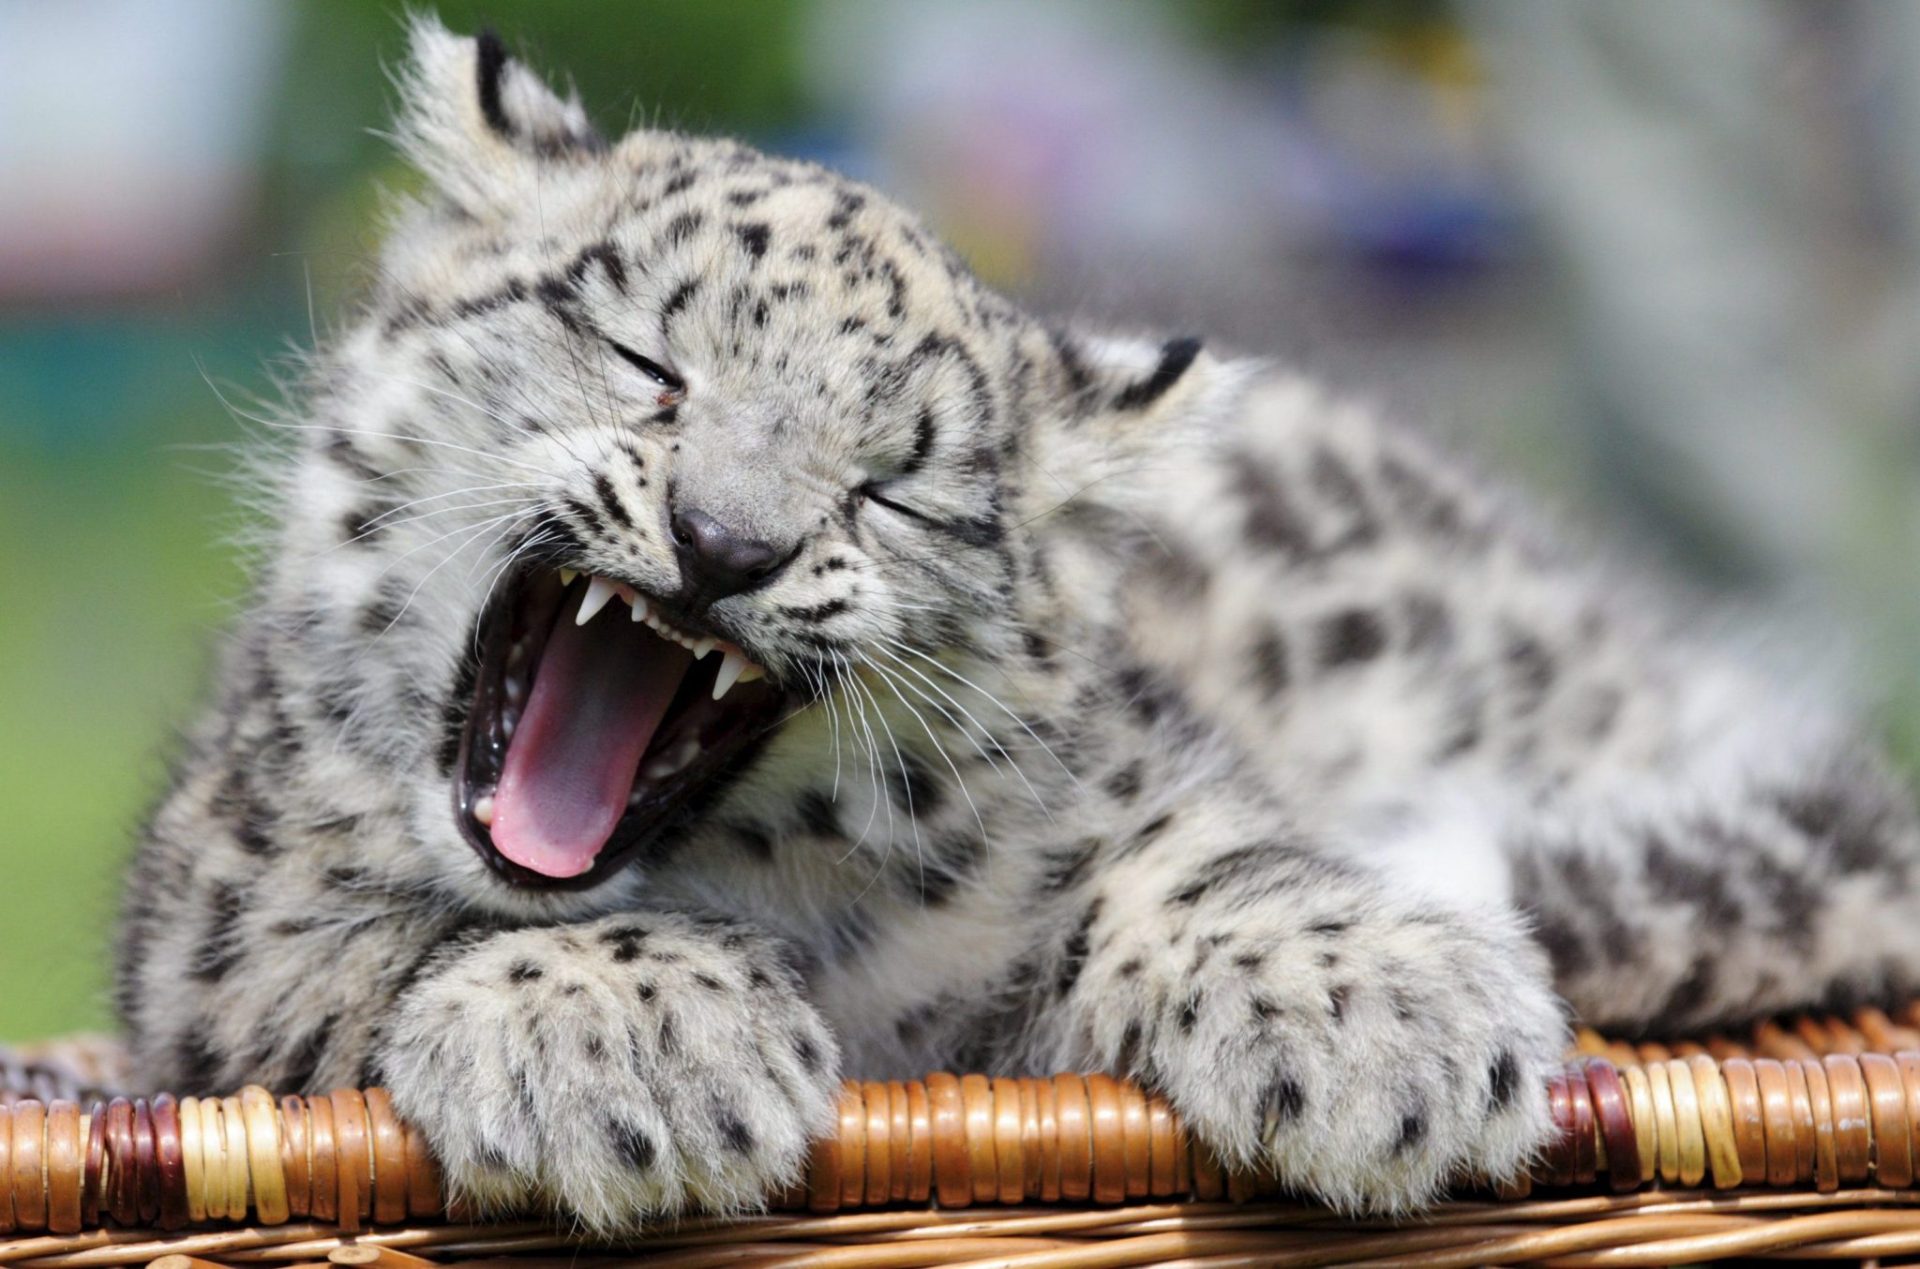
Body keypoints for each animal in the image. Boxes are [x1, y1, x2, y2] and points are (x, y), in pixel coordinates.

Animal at [115, 16, 1920, 1228]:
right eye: (648, 362)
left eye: (894, 489)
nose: (723, 541)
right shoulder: (212, 937)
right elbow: (367, 941)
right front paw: (638, 1040)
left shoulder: (1137, 793)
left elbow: (1198, 859)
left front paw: (1385, 1024)